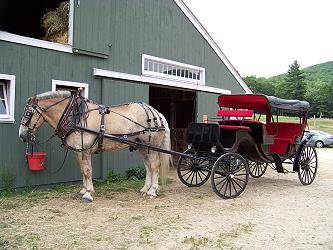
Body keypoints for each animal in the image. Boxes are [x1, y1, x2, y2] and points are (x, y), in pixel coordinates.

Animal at [17, 91, 171, 202]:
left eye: (28, 113)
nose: (22, 135)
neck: (76, 116)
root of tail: (157, 114)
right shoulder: (78, 151)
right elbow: (83, 170)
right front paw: (84, 190)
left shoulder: (83, 150)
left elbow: (87, 171)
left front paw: (88, 194)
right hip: (143, 147)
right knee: (148, 167)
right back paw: (145, 189)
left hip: (151, 146)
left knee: (154, 166)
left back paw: (152, 191)